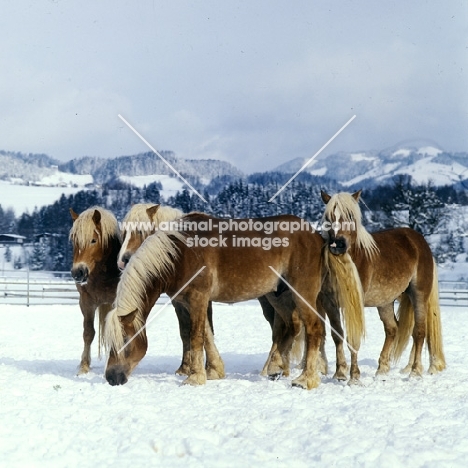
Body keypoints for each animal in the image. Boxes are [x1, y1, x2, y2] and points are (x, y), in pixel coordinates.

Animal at [69, 207, 121, 374]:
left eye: (93, 240)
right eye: (74, 240)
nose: (78, 272)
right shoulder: (86, 302)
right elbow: (88, 333)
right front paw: (84, 366)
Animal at [104, 212, 364, 388]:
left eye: (126, 340)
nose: (111, 377)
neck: (180, 253)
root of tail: (317, 236)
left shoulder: (198, 299)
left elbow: (196, 337)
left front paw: (195, 377)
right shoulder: (192, 302)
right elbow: (206, 334)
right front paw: (214, 371)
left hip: (302, 293)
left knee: (314, 329)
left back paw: (306, 379)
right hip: (278, 295)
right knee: (291, 327)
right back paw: (274, 368)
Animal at [322, 188, 446, 378]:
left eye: (350, 216)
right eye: (329, 217)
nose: (338, 244)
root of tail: (420, 242)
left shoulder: (354, 304)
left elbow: (353, 337)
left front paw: (354, 376)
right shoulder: (330, 303)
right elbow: (337, 336)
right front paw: (340, 373)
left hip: (418, 295)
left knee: (419, 331)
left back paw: (415, 371)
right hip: (385, 301)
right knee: (392, 329)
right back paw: (382, 369)